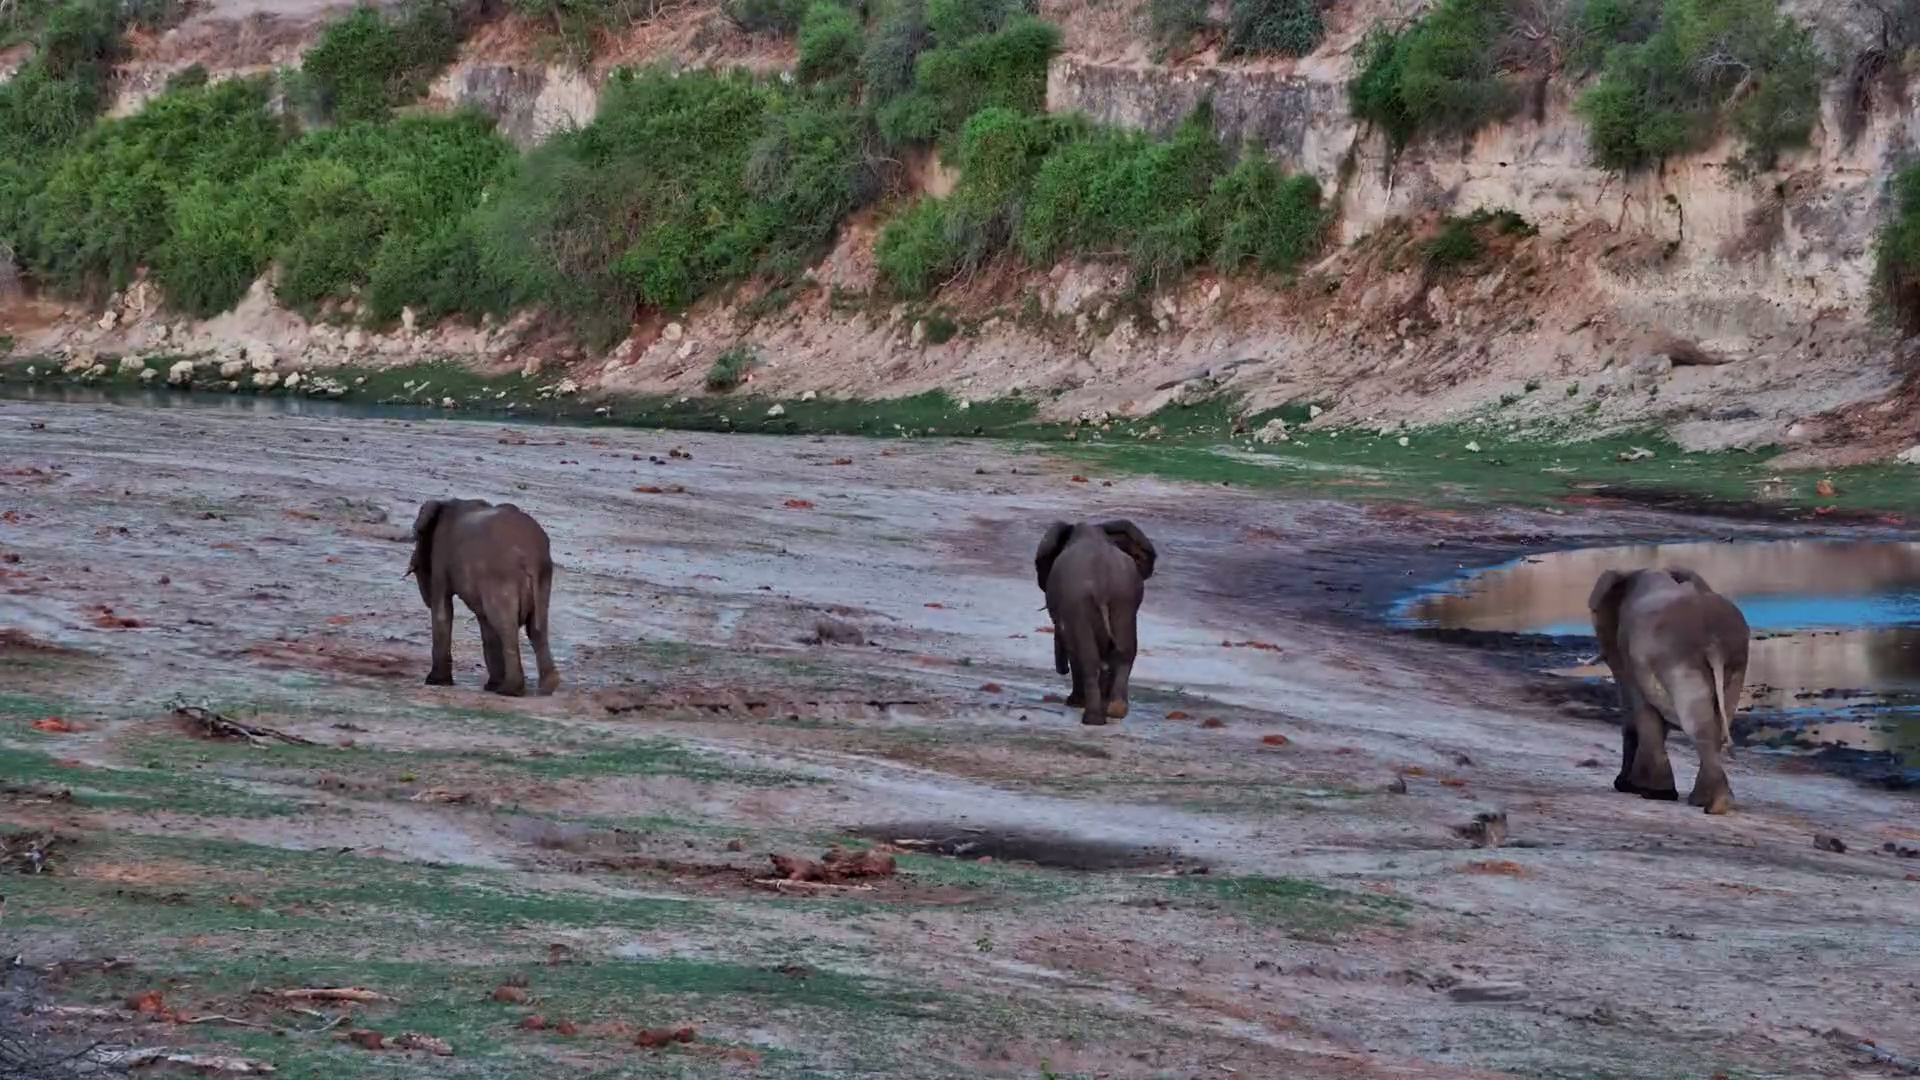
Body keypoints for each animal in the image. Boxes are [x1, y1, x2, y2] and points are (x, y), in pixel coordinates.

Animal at [407, 498, 558, 697]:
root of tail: (531, 556)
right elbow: (485, 623)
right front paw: (491, 685)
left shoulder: (441, 556)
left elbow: (443, 610)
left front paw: (435, 682)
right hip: (543, 578)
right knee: (536, 628)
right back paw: (546, 688)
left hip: (501, 575)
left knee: (506, 627)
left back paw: (509, 690)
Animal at [1034, 520, 1157, 726]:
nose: (1061, 670)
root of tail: (1102, 585)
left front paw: (1075, 703)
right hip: (1123, 601)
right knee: (1125, 652)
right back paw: (1115, 711)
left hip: (1080, 603)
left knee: (1088, 657)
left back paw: (1091, 718)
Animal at [1588, 566, 1749, 813]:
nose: (1620, 784)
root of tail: (1715, 642)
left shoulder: (1631, 654)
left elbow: (1642, 708)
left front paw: (1652, 793)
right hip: (1734, 663)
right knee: (1720, 718)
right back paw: (1709, 801)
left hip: (1679, 659)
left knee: (1697, 722)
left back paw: (1714, 804)